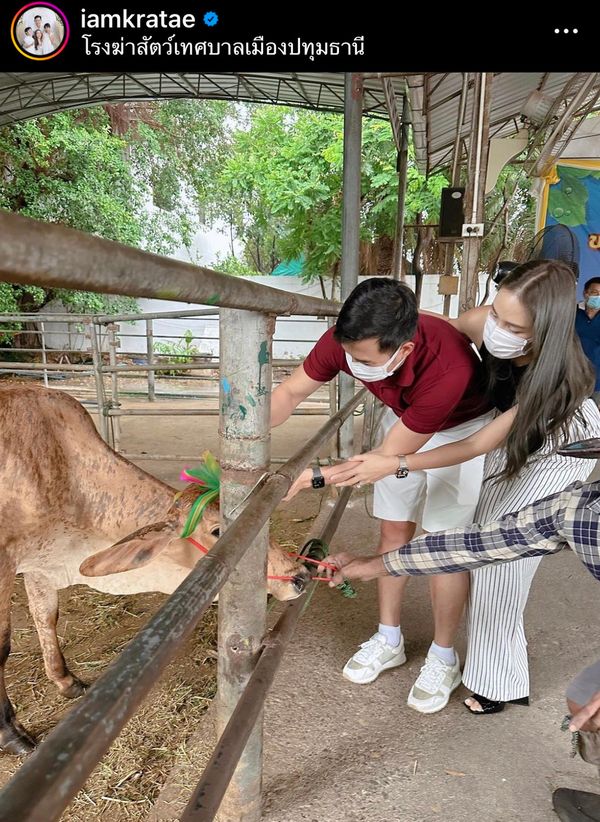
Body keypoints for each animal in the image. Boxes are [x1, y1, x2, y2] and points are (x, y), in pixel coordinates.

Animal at [0, 386, 310, 760]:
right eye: (217, 531)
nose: (299, 575)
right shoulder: (7, 561)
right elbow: (3, 646)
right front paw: (11, 733)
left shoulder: (40, 564)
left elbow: (46, 616)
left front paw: (66, 681)